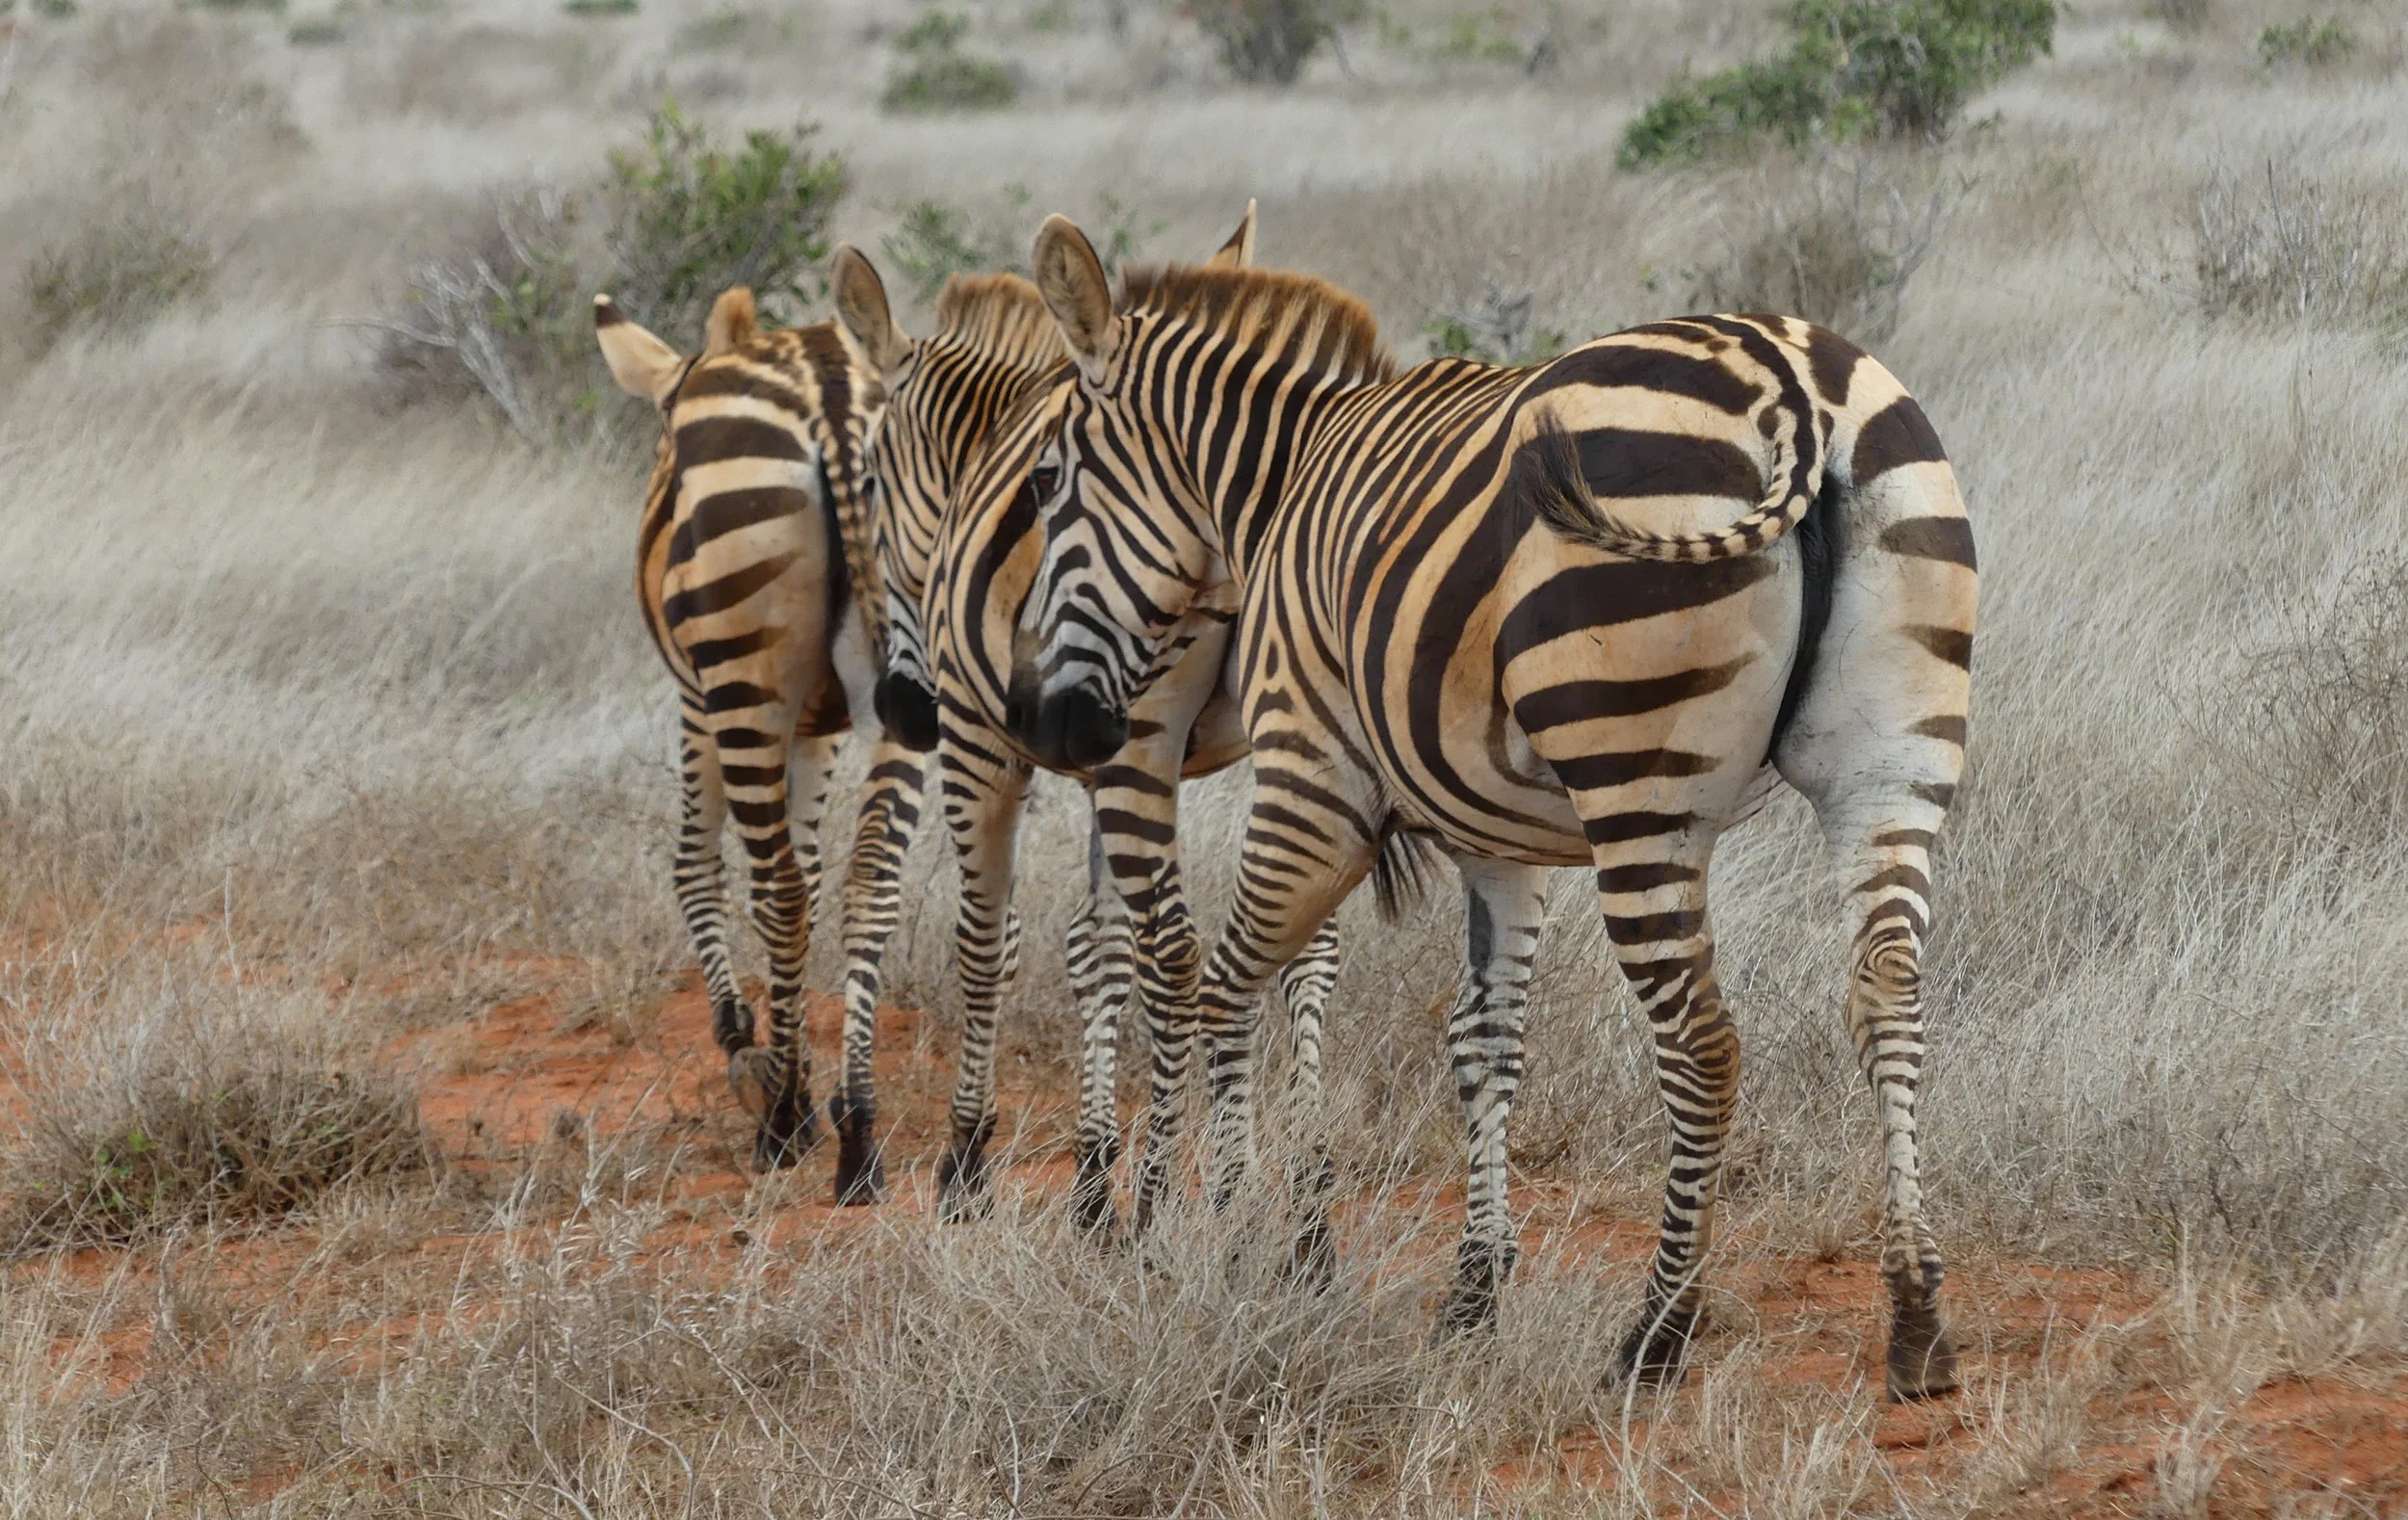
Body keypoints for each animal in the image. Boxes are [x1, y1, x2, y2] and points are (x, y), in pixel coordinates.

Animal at [594, 287, 922, 1203]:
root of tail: (832, 392)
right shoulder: (823, 727)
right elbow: (814, 860)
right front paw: (799, 1077)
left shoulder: (697, 702)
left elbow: (692, 863)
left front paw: (751, 1051)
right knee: (869, 882)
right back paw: (859, 1133)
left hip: (742, 675)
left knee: (776, 890)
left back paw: (781, 1126)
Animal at [831, 209, 1386, 1237]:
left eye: (874, 481)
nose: (902, 707)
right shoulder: (1087, 740)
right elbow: (1098, 949)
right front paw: (1093, 1173)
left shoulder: (987, 746)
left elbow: (988, 941)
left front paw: (968, 1162)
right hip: (1290, 728)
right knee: (1302, 950)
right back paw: (1305, 1198)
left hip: (1133, 737)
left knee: (1181, 954)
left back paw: (1182, 1197)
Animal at [1004, 217, 1977, 1398]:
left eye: (1044, 483)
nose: (1047, 726)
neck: (1276, 486)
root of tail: (1788, 380)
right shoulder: (1497, 844)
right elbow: (1485, 1041)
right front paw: (1474, 1289)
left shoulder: (1309, 770)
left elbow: (1222, 985)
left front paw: (1214, 1235)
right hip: (1892, 757)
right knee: (1888, 995)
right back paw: (1916, 1318)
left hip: (1635, 772)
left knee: (1702, 1043)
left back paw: (1659, 1329)